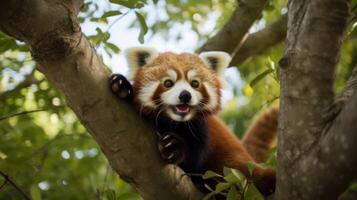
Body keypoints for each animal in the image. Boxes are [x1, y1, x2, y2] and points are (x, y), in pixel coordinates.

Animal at [108, 47, 276, 195]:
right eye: (168, 83)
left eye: (195, 83)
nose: (185, 95)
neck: (172, 121)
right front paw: (122, 85)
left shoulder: (202, 129)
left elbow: (194, 158)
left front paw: (173, 146)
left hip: (234, 167)